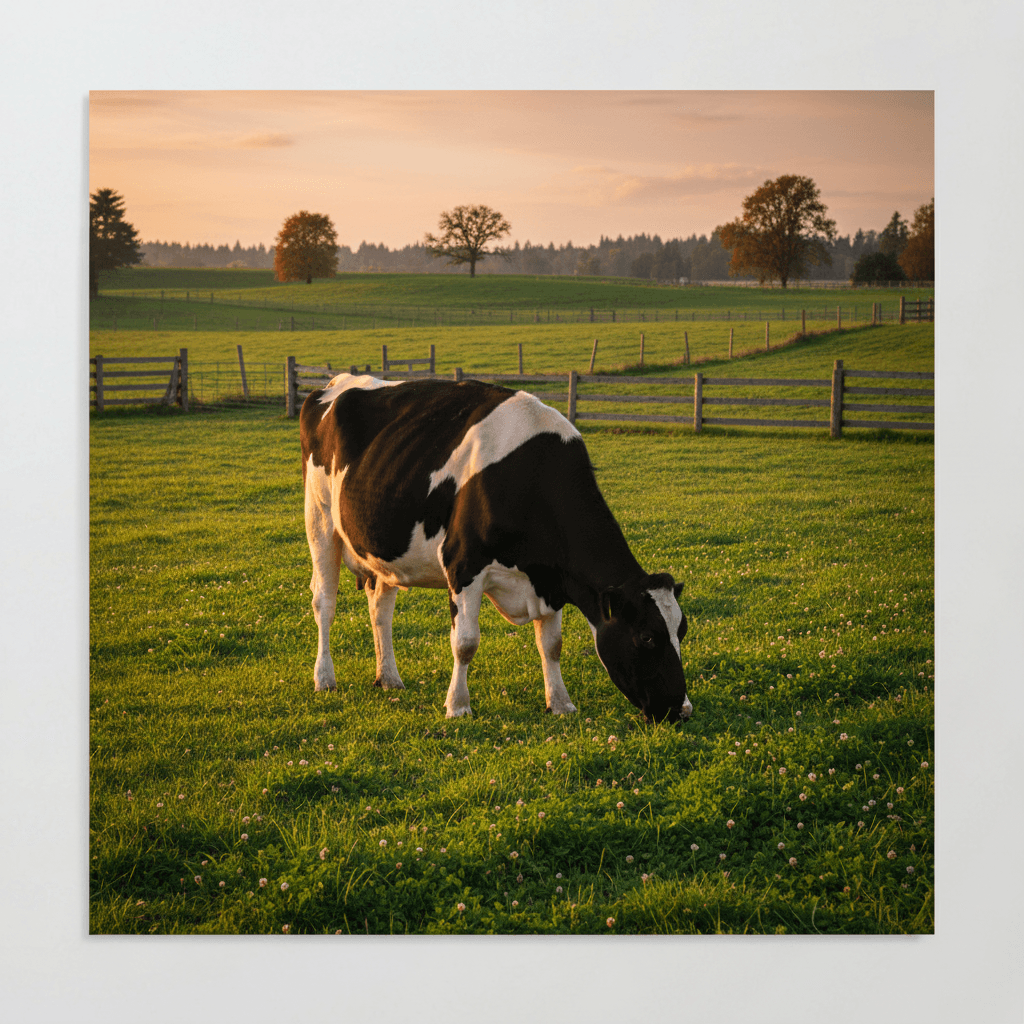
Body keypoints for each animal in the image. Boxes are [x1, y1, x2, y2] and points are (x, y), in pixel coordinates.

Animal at [300, 373, 691, 723]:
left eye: (682, 631)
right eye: (646, 637)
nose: (681, 709)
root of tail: (336, 383)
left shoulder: (550, 579)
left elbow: (552, 644)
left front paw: (560, 703)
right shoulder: (463, 565)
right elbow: (465, 642)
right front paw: (458, 706)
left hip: (382, 550)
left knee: (381, 608)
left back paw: (389, 678)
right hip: (319, 520)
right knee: (324, 602)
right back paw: (324, 679)